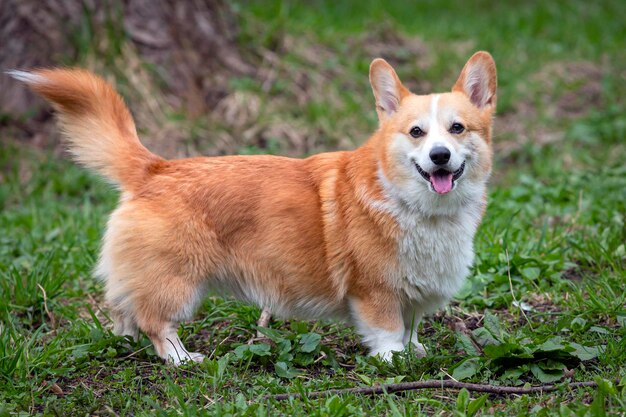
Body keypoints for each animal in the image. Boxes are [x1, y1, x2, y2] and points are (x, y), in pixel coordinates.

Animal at [9, 52, 494, 362]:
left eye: (457, 128)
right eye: (416, 132)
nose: (439, 156)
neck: (420, 207)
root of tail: (155, 168)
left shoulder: (412, 295)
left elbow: (410, 327)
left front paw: (416, 353)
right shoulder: (375, 292)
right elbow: (388, 332)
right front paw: (395, 363)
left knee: (124, 309)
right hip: (178, 281)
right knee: (155, 321)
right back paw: (182, 359)